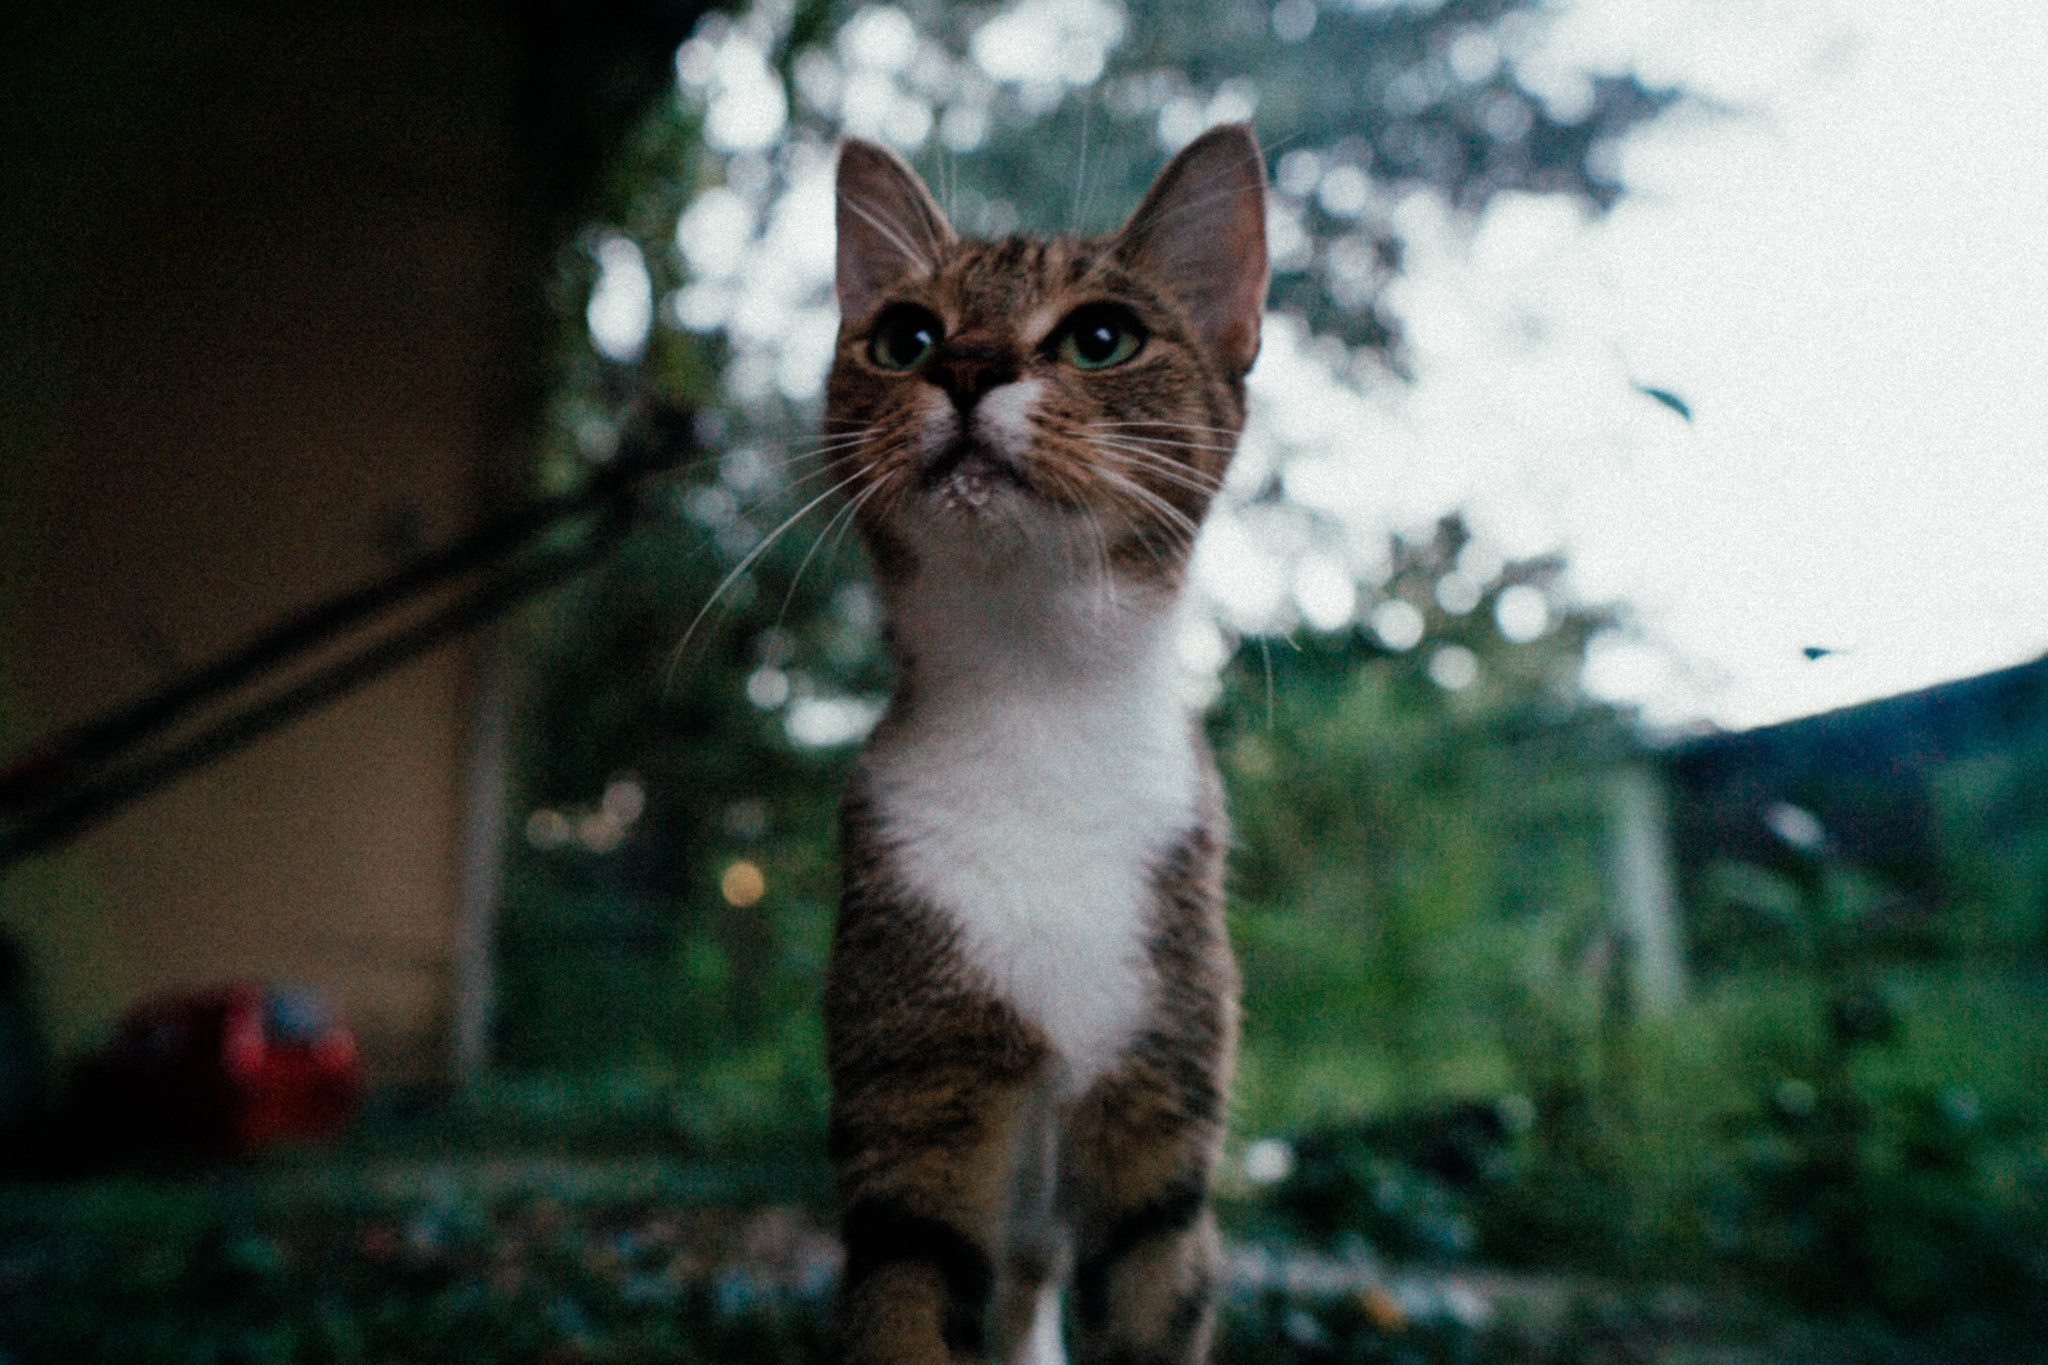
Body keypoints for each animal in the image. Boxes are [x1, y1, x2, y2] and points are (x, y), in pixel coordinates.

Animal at [821, 123, 1268, 1365]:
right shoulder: (915, 1107)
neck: (1039, 707)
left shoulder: (1159, 1111)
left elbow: (1152, 1299)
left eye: (1099, 337)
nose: (967, 367)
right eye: (905, 336)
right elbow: (909, 1303)